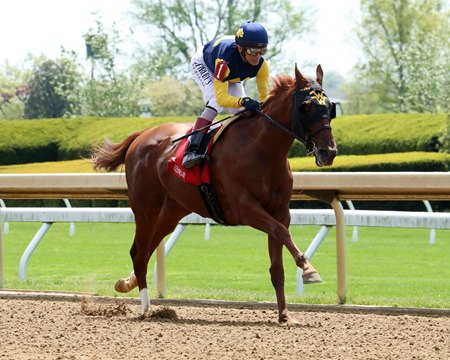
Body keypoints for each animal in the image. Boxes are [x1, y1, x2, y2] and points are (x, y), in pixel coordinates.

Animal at [92, 64, 338, 324]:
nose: (329, 151)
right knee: (138, 254)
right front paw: (308, 269)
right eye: (306, 107)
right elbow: (281, 232)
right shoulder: (243, 209)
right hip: (145, 209)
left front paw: (284, 315)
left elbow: (277, 263)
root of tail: (140, 136)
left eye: (329, 107)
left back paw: (126, 283)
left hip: (171, 212)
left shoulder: (280, 211)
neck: (261, 151)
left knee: (145, 251)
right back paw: (146, 308)